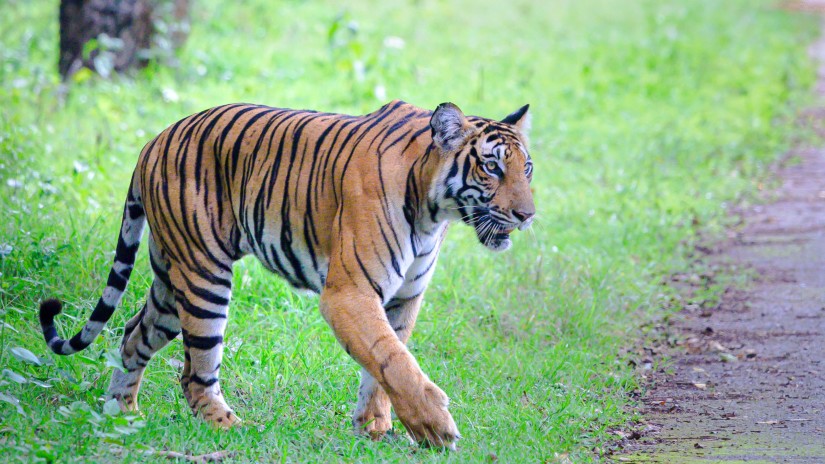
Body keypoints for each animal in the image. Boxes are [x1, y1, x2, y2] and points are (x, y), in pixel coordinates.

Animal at [40, 99, 536, 450]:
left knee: (132, 335)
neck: (435, 209)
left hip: (170, 277)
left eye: (526, 168)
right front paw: (435, 427)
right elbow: (393, 359)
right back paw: (234, 429)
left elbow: (385, 361)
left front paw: (374, 427)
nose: (528, 215)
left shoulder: (403, 298)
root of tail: (153, 140)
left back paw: (121, 415)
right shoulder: (349, 292)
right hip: (204, 276)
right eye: (492, 167)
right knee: (195, 376)